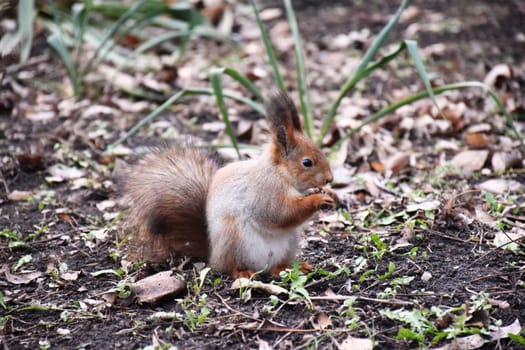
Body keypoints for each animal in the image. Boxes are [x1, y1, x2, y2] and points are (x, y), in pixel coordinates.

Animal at [123, 91, 334, 278]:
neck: (279, 174)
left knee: (276, 267)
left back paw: (288, 268)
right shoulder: (265, 191)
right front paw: (318, 198)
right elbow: (279, 213)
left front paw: (328, 193)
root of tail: (212, 254)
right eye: (307, 162)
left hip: (290, 242)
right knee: (228, 267)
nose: (329, 179)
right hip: (232, 236)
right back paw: (242, 272)